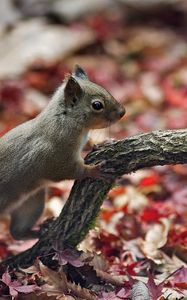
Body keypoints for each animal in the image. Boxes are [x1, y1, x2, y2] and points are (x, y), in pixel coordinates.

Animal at [0, 65, 125, 239]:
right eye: (97, 105)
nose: (123, 112)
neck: (65, 120)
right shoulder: (56, 157)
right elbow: (68, 171)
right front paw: (94, 170)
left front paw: (102, 143)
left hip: (31, 203)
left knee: (17, 232)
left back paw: (41, 230)